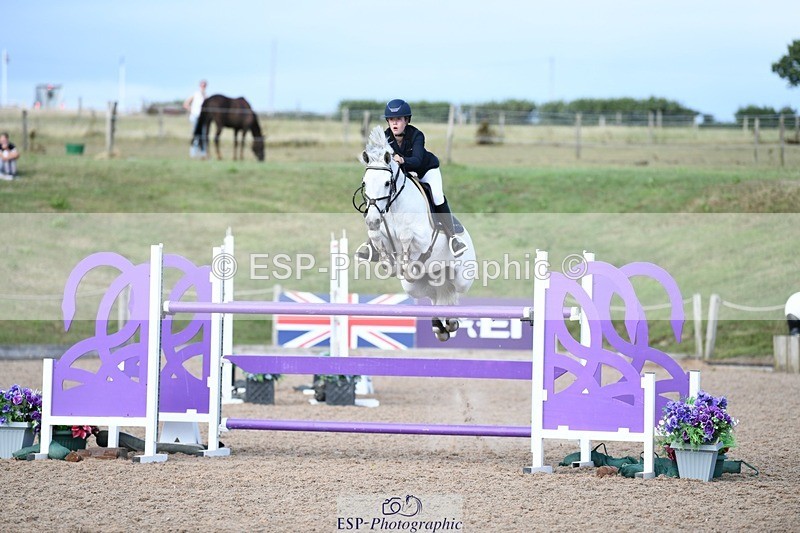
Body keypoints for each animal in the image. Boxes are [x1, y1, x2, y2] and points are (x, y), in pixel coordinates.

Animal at [355, 126, 476, 341]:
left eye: (387, 183)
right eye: (365, 183)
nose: (372, 219)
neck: (394, 205)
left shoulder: (424, 237)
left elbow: (406, 235)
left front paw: (404, 262)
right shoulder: (381, 233)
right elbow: (377, 237)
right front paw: (389, 262)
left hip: (461, 277)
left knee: (454, 292)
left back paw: (451, 320)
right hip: (415, 286)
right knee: (435, 295)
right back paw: (440, 325)